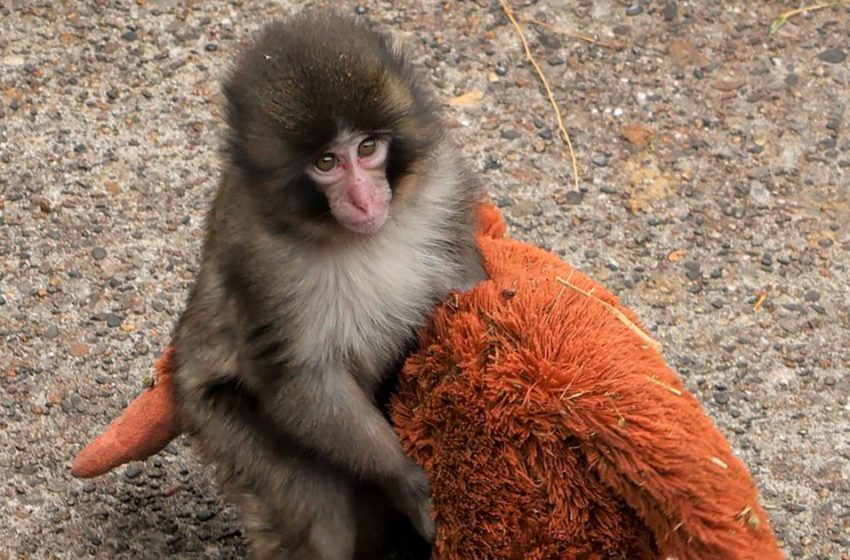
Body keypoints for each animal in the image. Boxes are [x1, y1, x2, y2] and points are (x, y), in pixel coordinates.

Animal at [169, 9, 487, 560]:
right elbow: (301, 377)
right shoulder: (261, 261)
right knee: (319, 512)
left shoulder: (442, 187)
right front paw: (406, 479)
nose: (363, 199)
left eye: (367, 148)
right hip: (217, 417)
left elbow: (466, 285)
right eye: (326, 163)